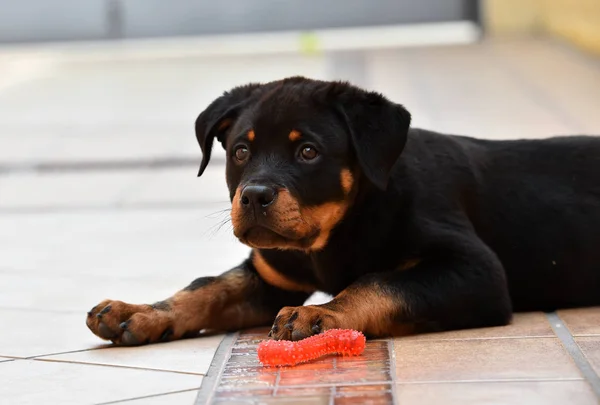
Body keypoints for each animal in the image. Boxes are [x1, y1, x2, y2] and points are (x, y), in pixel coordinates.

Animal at [85, 76, 600, 344]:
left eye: (308, 152)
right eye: (240, 152)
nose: (253, 196)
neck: (332, 237)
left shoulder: (475, 269)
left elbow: (381, 282)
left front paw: (321, 315)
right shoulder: (269, 275)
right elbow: (207, 288)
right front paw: (140, 312)